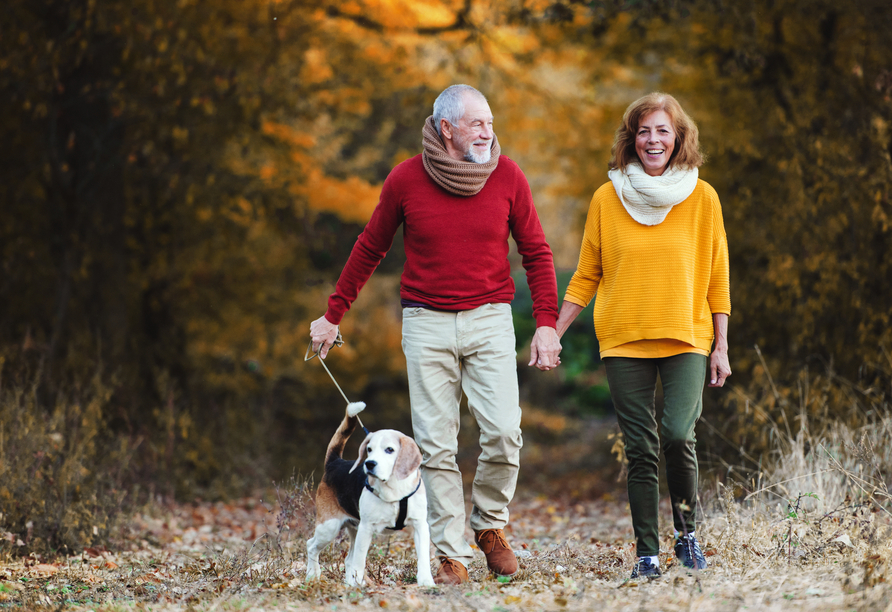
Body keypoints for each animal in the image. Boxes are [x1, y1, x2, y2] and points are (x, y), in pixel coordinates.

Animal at [304, 404, 434, 584]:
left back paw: (349, 583)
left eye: (389, 450)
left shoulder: (420, 525)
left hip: (353, 528)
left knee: (348, 559)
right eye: (369, 449)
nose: (369, 463)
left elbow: (423, 558)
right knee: (311, 546)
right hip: (329, 527)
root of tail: (335, 462)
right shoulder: (367, 528)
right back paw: (312, 575)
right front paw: (359, 584)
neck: (393, 488)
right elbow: (359, 562)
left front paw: (426, 581)